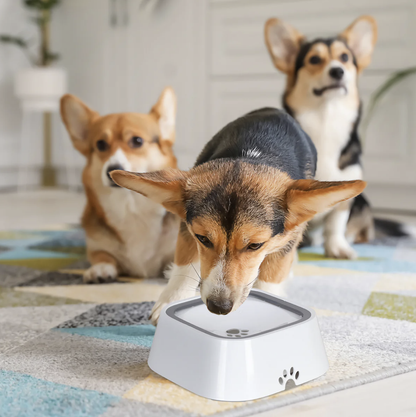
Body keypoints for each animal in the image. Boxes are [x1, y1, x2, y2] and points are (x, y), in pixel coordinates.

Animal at [60, 87, 179, 282]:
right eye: (100, 144)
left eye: (137, 141)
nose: (111, 169)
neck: (130, 205)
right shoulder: (96, 247)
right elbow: (102, 256)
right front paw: (100, 269)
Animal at [110, 107, 364, 322]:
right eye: (203, 239)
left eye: (255, 245)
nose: (218, 308)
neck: (252, 154)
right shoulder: (187, 231)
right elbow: (185, 263)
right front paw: (171, 301)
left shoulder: (287, 237)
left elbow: (271, 275)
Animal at [266, 16, 376, 258]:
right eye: (314, 59)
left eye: (345, 58)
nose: (338, 71)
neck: (326, 118)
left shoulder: (347, 193)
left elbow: (336, 223)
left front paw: (337, 248)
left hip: (363, 202)